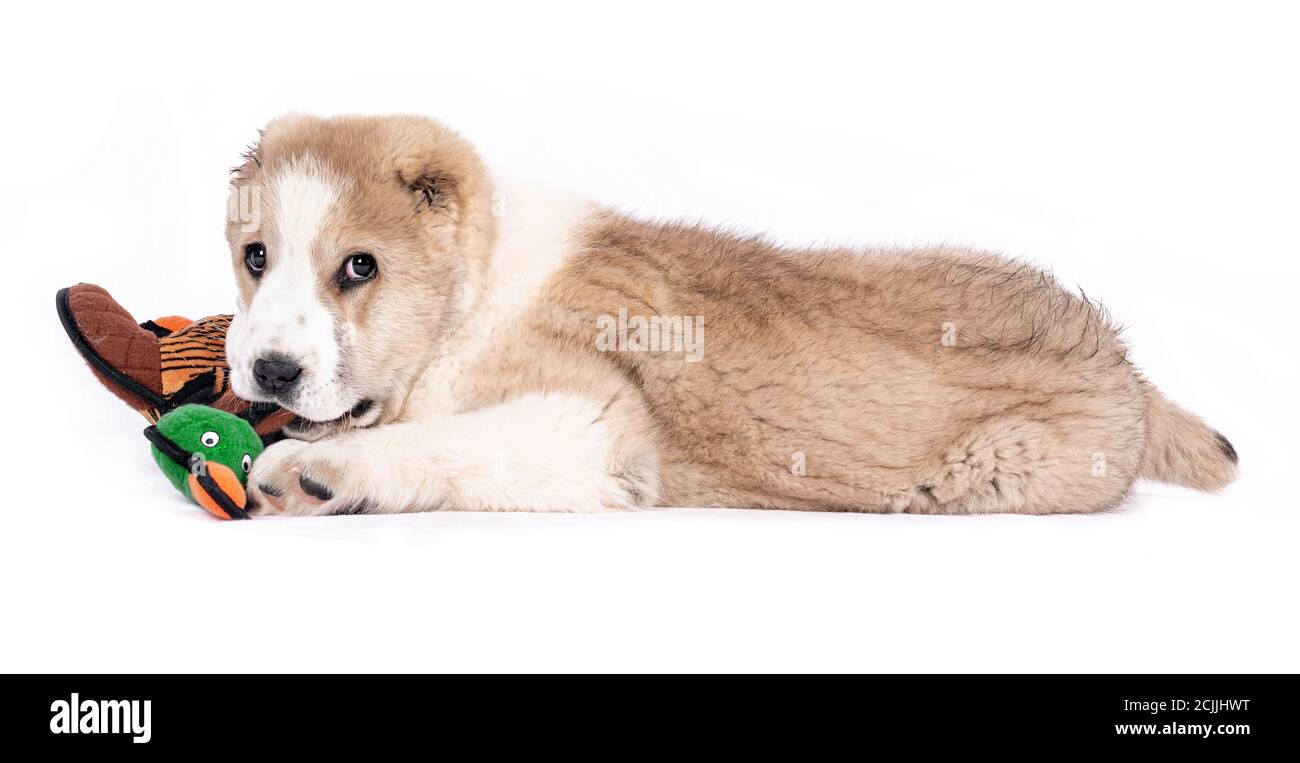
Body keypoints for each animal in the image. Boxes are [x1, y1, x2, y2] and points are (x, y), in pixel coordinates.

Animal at [226, 113, 1237, 517]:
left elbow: (439, 440)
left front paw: (318, 473)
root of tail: (1122, 356)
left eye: (360, 267)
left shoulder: (594, 425)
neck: (478, 289)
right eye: (255, 257)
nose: (268, 372)